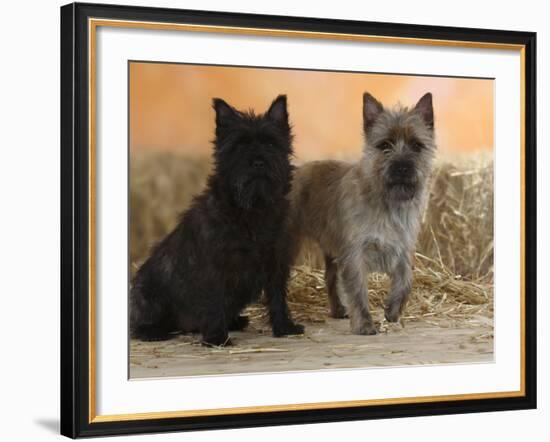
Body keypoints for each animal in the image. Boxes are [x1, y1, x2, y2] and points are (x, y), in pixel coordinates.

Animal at [129, 95, 304, 348]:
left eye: (271, 144)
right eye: (239, 146)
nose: (258, 162)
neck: (252, 210)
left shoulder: (276, 262)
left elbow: (277, 296)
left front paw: (284, 327)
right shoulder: (214, 267)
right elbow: (214, 301)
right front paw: (216, 338)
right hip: (148, 292)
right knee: (140, 322)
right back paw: (153, 331)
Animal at [292, 93, 438, 334]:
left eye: (417, 146)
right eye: (385, 145)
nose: (402, 167)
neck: (388, 203)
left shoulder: (402, 249)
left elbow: (405, 280)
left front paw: (393, 310)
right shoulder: (355, 254)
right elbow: (358, 291)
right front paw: (364, 324)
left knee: (330, 277)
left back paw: (338, 309)